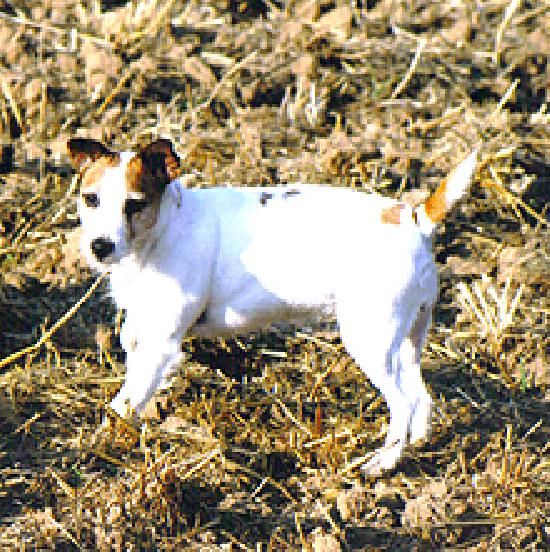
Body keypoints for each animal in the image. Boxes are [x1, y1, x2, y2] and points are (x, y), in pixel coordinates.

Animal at [66, 137, 478, 470]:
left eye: (134, 205)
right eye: (91, 199)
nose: (99, 247)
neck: (162, 230)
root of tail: (414, 220)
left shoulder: (161, 347)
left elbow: (123, 403)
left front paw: (97, 441)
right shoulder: (141, 337)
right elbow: (132, 384)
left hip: (371, 343)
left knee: (403, 405)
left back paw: (383, 463)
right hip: (407, 342)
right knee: (421, 399)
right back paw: (418, 444)